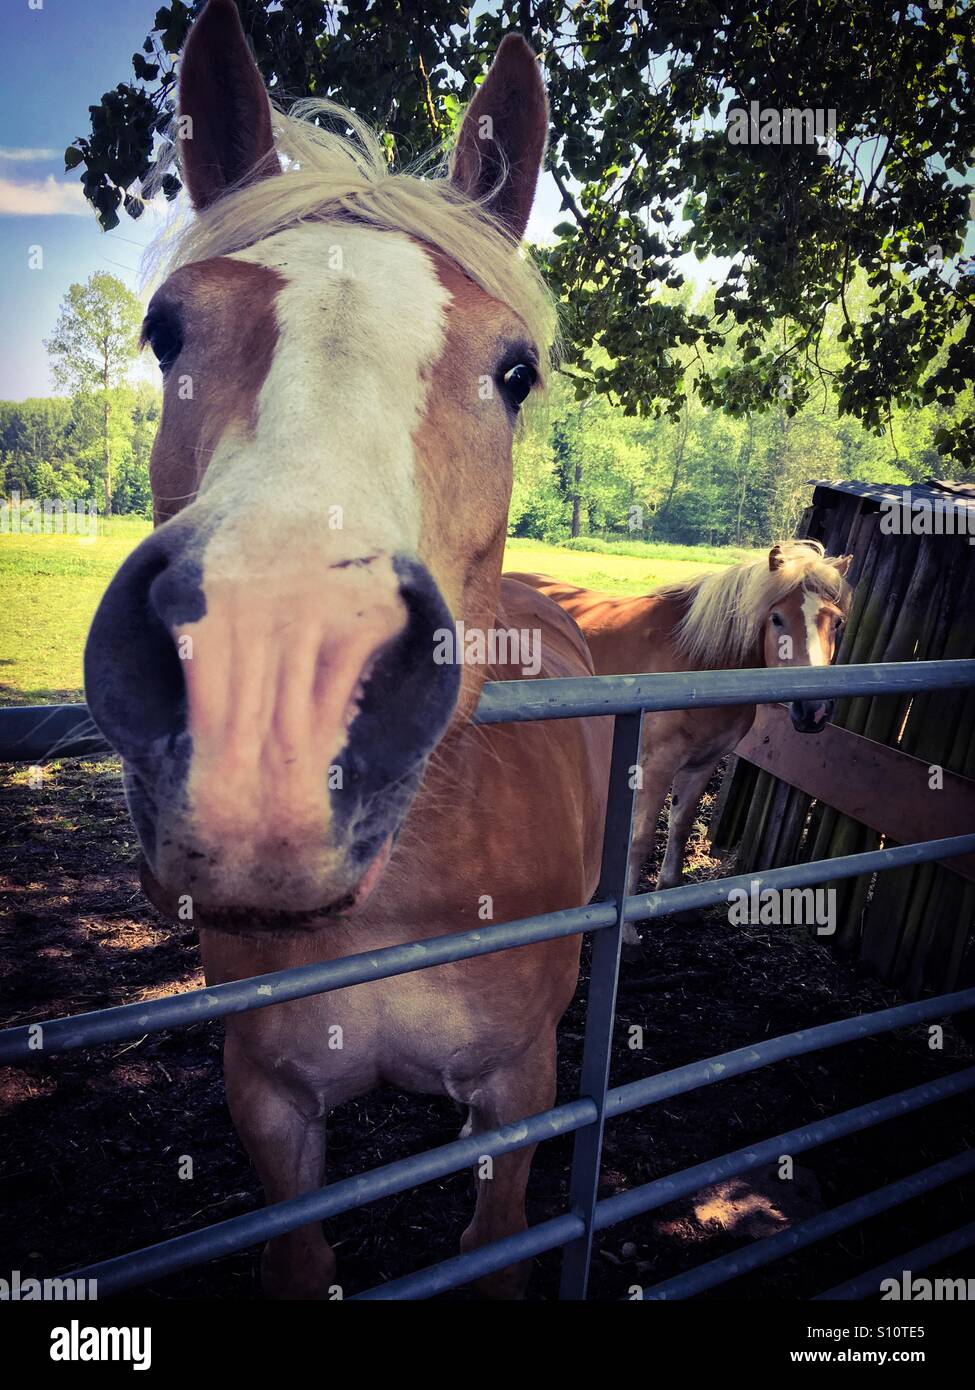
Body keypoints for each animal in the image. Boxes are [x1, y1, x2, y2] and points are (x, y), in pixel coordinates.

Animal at [509, 541, 852, 910]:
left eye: (837, 623)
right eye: (776, 618)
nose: (813, 709)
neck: (698, 663)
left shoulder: (701, 765)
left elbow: (681, 825)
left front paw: (666, 890)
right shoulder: (655, 769)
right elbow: (640, 840)